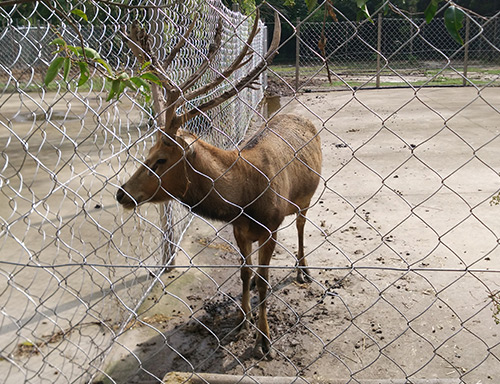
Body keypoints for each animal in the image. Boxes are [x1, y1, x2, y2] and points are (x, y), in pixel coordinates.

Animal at [118, 10, 324, 358]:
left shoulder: (270, 227)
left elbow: (265, 281)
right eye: (148, 153)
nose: (122, 194)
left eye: (161, 159)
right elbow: (244, 273)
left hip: (306, 197)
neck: (242, 202)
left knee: (300, 225)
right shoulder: (239, 230)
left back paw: (303, 271)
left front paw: (264, 341)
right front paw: (242, 320)